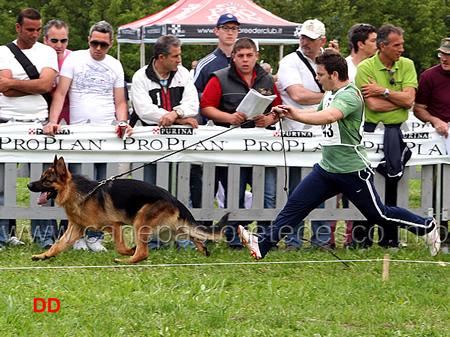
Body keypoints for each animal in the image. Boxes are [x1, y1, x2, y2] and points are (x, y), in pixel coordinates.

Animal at [27, 156, 229, 262]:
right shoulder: (75, 230)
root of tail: (174, 198)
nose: (28, 185)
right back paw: (203, 249)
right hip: (167, 231)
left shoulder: (113, 226)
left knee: (143, 253)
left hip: (142, 224)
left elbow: (121, 247)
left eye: (46, 180)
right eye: (41, 177)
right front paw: (44, 255)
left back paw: (127, 260)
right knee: (191, 234)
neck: (81, 193)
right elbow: (57, 245)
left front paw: (128, 251)